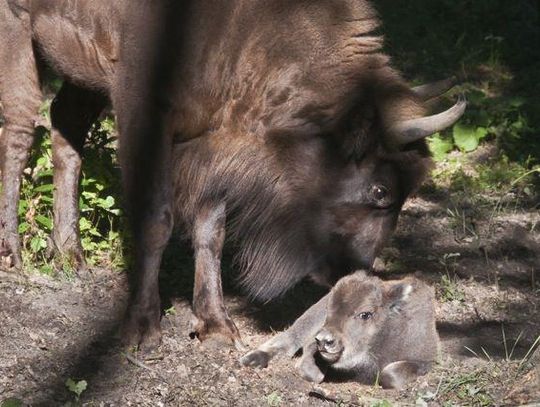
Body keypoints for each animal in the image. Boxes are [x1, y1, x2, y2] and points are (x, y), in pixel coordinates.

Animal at [0, 1, 464, 350]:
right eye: (380, 189)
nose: (353, 272)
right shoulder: (142, 111)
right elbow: (156, 219)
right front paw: (142, 327)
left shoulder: (213, 140)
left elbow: (212, 231)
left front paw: (217, 325)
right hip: (19, 32)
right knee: (19, 131)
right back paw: (13, 256)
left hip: (80, 68)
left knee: (65, 128)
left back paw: (68, 254)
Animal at [242, 272, 438, 390]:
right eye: (329, 309)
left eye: (365, 314)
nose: (324, 340)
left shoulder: (425, 361)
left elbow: (390, 375)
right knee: (290, 337)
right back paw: (252, 359)